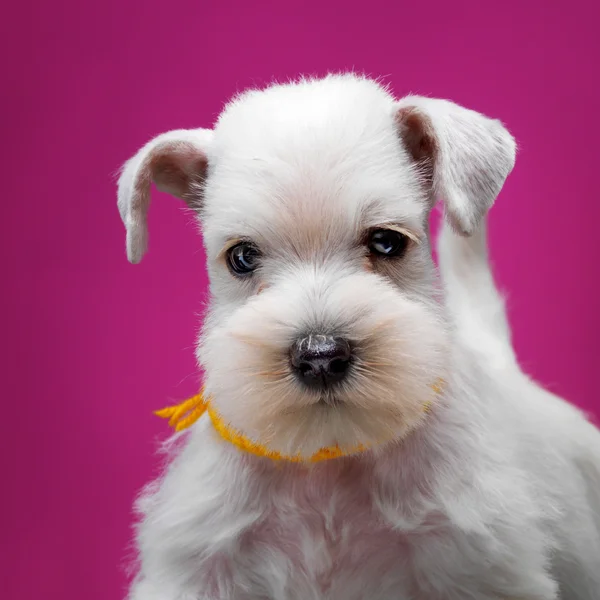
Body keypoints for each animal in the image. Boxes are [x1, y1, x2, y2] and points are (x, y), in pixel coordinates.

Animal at [116, 75, 600, 600]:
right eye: (241, 256)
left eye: (387, 241)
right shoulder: (198, 566)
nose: (320, 357)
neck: (330, 456)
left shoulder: (476, 567)